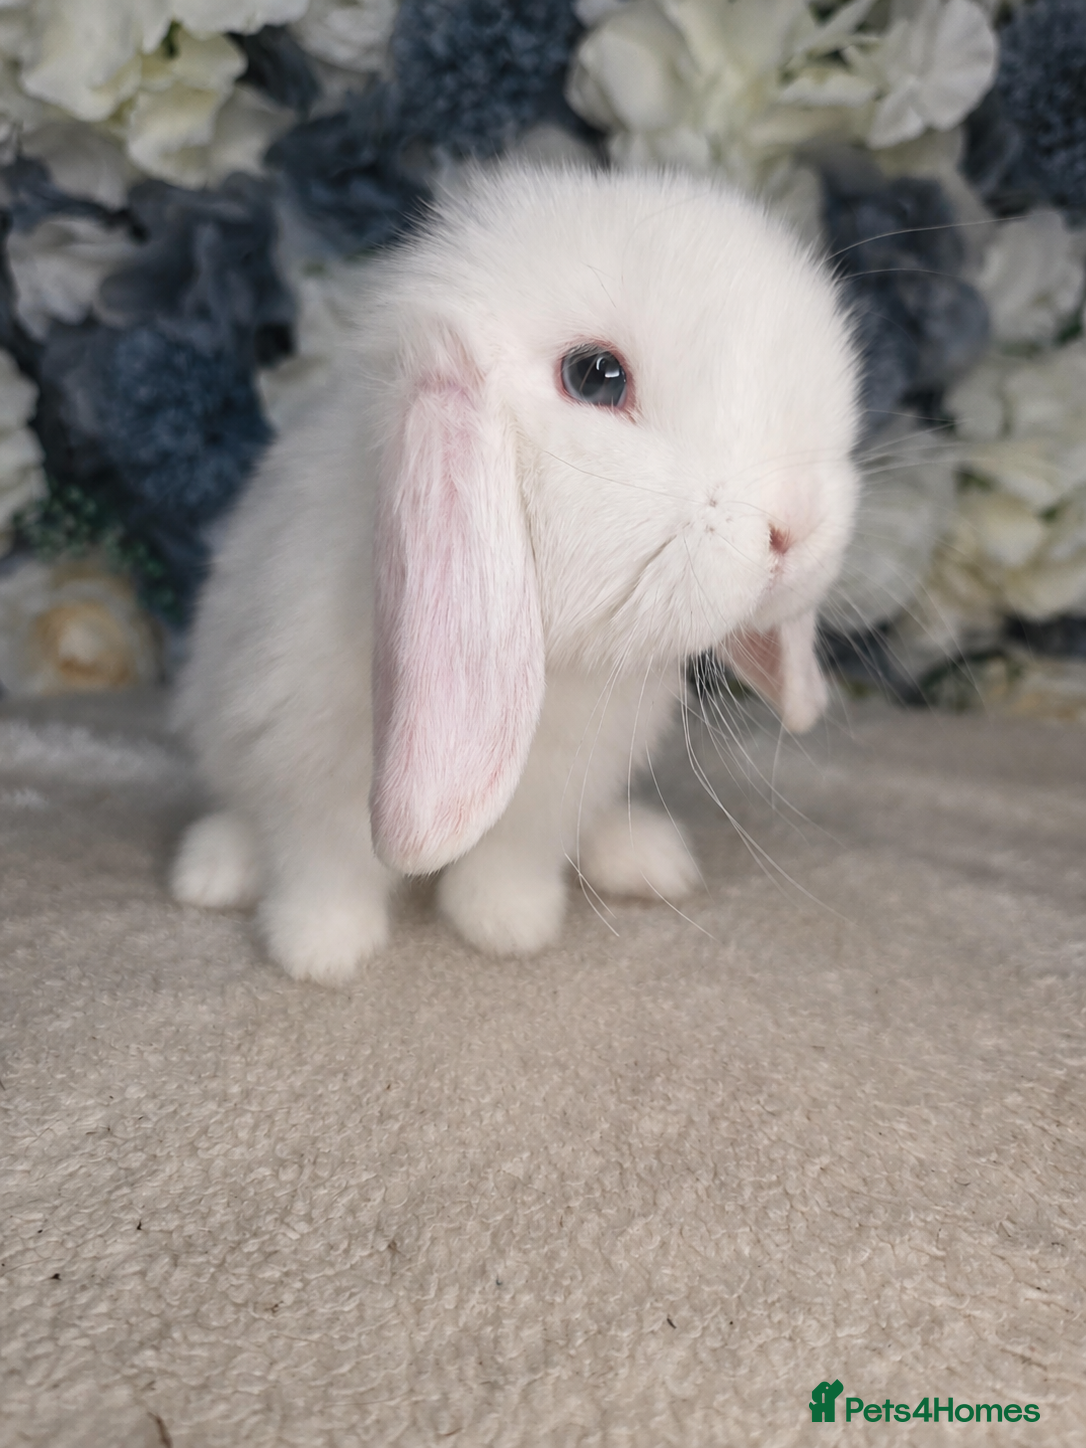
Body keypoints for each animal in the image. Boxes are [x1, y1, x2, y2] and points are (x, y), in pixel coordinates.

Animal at [171, 161, 861, 984]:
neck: (557, 664)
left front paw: (507, 926)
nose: (797, 526)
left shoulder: (556, 790)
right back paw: (213, 868)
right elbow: (324, 865)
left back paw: (645, 856)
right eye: (595, 376)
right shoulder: (301, 767)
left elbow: (512, 859)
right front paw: (321, 951)